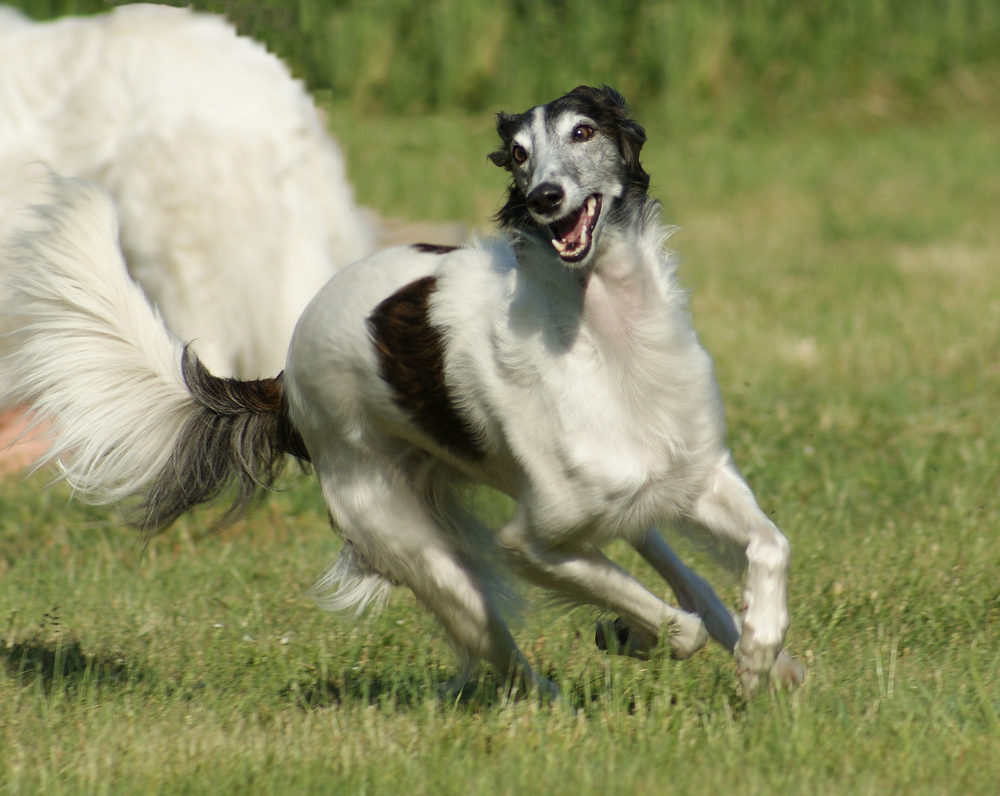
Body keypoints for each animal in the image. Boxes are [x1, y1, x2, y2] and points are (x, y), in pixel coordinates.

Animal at [0, 85, 800, 696]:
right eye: (519, 153)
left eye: (584, 130)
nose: (546, 197)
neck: (608, 343)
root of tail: (283, 378)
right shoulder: (532, 542)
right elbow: (669, 621)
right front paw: (639, 633)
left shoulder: (692, 474)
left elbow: (768, 547)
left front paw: (760, 646)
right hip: (417, 546)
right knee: (504, 651)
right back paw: (556, 686)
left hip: (626, 506)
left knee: (688, 580)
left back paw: (765, 658)